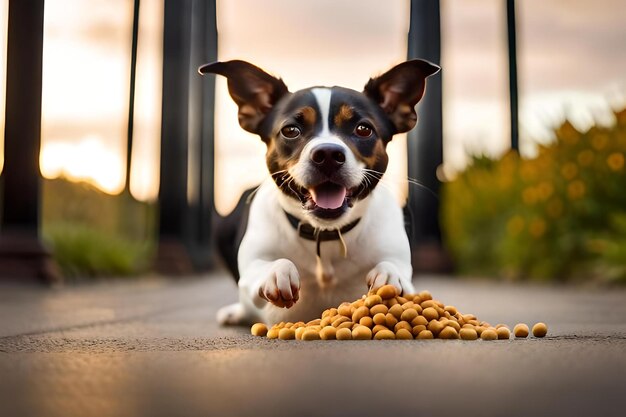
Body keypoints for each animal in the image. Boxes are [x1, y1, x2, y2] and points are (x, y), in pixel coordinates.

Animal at [200, 58, 438, 324]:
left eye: (363, 129)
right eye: (290, 130)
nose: (328, 154)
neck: (325, 235)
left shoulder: (397, 259)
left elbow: (394, 267)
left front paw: (389, 275)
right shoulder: (251, 271)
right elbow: (265, 267)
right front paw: (277, 271)